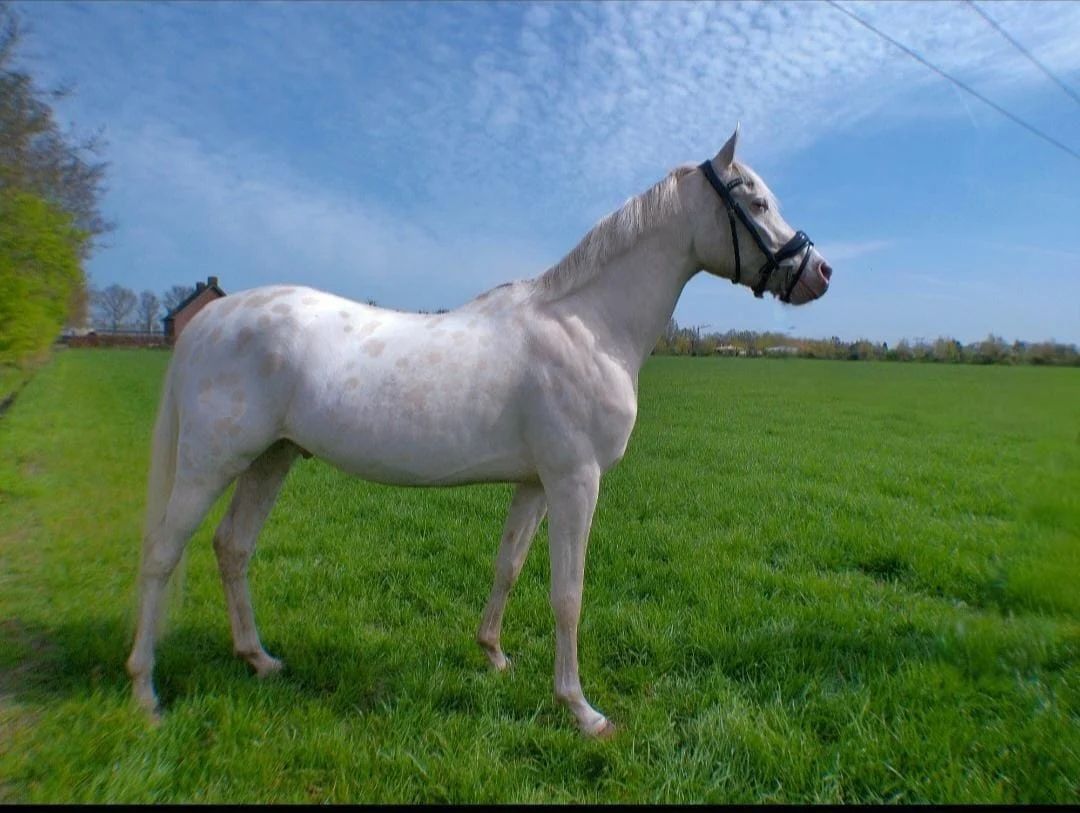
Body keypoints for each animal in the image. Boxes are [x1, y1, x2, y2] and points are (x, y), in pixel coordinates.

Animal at [126, 127, 833, 737]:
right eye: (756, 201)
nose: (819, 272)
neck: (588, 324)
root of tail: (209, 321)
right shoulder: (576, 482)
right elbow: (568, 594)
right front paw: (581, 710)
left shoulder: (537, 483)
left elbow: (509, 564)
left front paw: (493, 656)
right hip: (211, 462)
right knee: (162, 554)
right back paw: (144, 692)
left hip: (271, 458)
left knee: (232, 547)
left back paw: (259, 659)